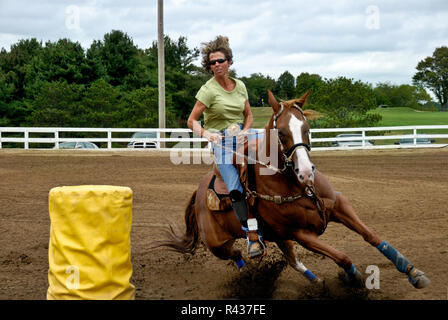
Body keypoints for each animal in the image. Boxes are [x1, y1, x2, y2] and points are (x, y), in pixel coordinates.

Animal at [160, 89, 430, 290]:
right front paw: (352, 278)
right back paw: (252, 269)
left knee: (292, 261)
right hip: (219, 245)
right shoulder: (301, 233)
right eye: (280, 132)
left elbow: (372, 236)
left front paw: (413, 271)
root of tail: (198, 193)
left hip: (278, 237)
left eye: (307, 128)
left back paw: (317, 283)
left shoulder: (338, 205)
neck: (296, 184)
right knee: (238, 255)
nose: (306, 171)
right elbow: (342, 257)